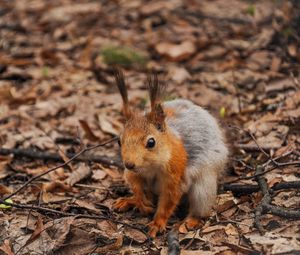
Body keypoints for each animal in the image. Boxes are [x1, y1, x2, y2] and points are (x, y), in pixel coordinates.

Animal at [112, 69, 227, 237]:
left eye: (151, 142)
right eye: (119, 141)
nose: (129, 164)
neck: (150, 166)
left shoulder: (175, 176)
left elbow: (168, 201)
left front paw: (157, 223)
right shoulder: (132, 173)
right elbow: (135, 184)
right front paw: (140, 201)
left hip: (203, 186)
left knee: (201, 207)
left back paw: (191, 221)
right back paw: (129, 200)